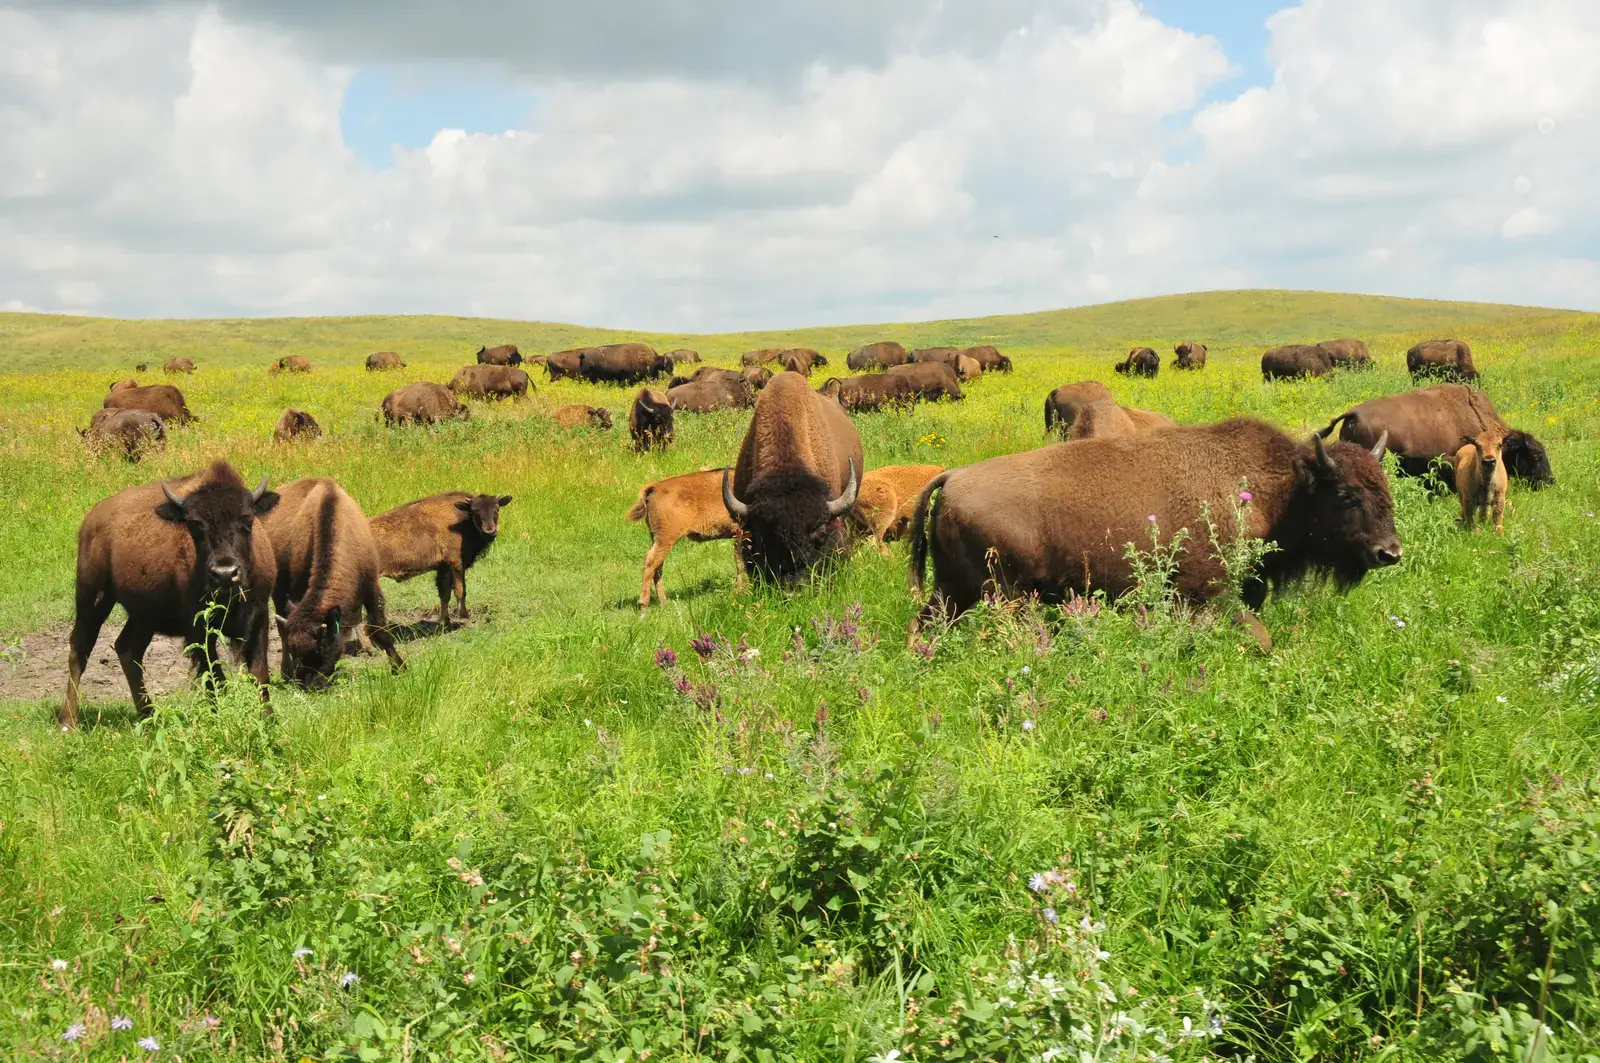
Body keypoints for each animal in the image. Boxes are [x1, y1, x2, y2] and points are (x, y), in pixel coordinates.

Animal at [62, 461, 279, 728]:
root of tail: (92, 520)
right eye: (194, 525)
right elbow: (215, 678)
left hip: (142, 615)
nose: (225, 573)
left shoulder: (259, 617)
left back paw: (148, 715)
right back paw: (68, 722)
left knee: (127, 649)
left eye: (247, 521)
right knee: (80, 648)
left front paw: (269, 722)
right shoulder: (197, 629)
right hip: (93, 597)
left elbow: (260, 675)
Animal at [260, 478, 403, 688]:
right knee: (281, 628)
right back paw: (286, 674)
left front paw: (400, 667)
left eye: (321, 646)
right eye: (296, 650)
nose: (309, 684)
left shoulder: (371, 586)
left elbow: (380, 630)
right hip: (278, 590)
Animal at [910, 419, 1400, 628]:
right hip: (1004, 594)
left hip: (953, 589)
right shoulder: (1203, 593)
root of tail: (952, 476)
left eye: (1385, 489)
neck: (1282, 487)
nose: (1389, 552)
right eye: (1347, 495)